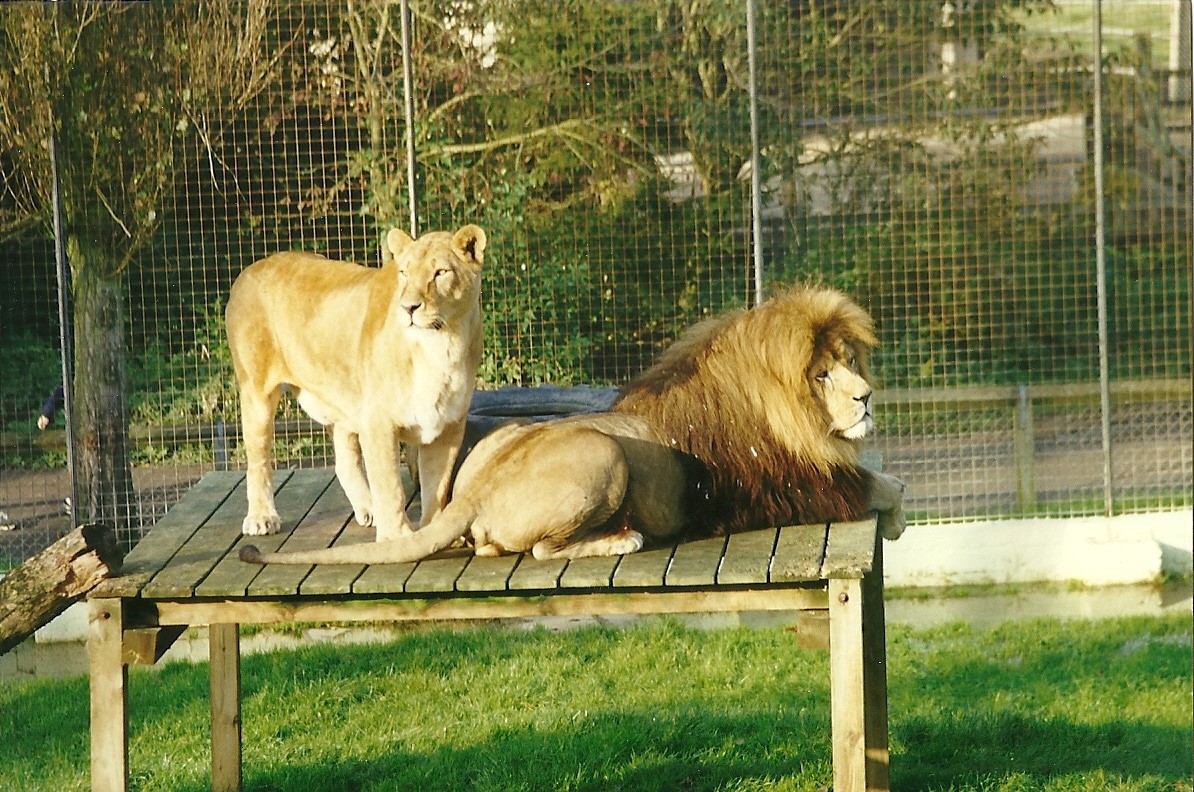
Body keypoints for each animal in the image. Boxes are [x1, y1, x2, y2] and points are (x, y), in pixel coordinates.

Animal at [225, 224, 485, 542]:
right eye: (404, 273)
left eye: (440, 273)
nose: (409, 308)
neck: (442, 344)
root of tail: (248, 269)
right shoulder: (379, 422)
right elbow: (390, 485)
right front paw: (396, 538)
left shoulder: (448, 426)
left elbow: (437, 487)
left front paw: (435, 532)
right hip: (257, 393)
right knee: (258, 459)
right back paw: (262, 518)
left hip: (344, 400)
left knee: (344, 461)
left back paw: (369, 509)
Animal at [240, 285, 906, 565]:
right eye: (822, 375)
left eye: (850, 362)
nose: (867, 398)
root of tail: (476, 493)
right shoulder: (798, 487)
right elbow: (887, 484)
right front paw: (897, 521)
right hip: (602, 459)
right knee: (539, 549)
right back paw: (623, 538)